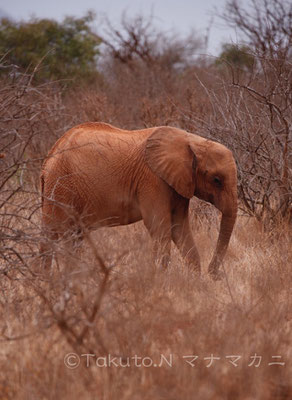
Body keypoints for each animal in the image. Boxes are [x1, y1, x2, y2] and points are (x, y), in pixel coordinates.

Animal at [40, 122, 237, 278]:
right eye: (217, 180)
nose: (215, 274)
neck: (192, 141)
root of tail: (49, 156)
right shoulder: (153, 180)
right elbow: (159, 227)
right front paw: (158, 281)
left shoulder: (179, 183)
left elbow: (179, 228)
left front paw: (195, 283)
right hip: (60, 187)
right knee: (58, 234)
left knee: (68, 236)